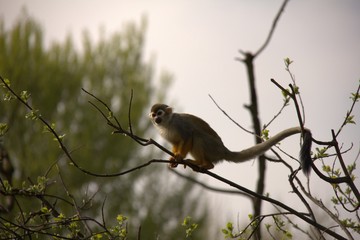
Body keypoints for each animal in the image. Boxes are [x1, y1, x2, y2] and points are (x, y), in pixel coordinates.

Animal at [149, 103, 312, 174]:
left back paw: (206, 164)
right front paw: (174, 158)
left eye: (160, 113)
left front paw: (179, 156)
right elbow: (177, 142)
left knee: (197, 136)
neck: (168, 123)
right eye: (154, 114)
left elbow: (188, 136)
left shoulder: (179, 123)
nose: (156, 119)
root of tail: (224, 150)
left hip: (213, 148)